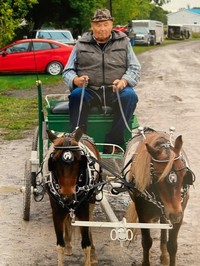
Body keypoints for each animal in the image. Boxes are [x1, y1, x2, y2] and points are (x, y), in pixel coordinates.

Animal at [44, 127, 102, 266]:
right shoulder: (57, 212)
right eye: (54, 161)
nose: (67, 197)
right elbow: (60, 245)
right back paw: (69, 245)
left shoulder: (84, 210)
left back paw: (93, 252)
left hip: (91, 202)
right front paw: (65, 245)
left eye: (80, 160)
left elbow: (85, 244)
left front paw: (90, 254)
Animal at [123, 129, 195, 266]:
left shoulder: (180, 211)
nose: (175, 214)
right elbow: (146, 242)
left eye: (184, 174)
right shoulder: (143, 214)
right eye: (157, 178)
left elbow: (172, 245)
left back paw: (164, 255)